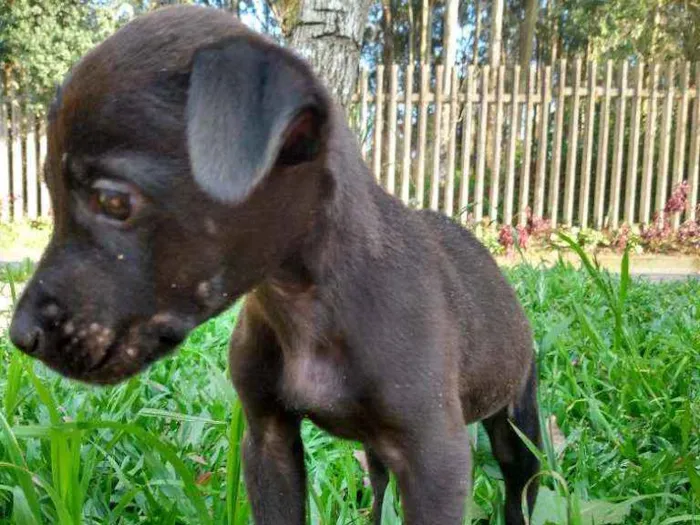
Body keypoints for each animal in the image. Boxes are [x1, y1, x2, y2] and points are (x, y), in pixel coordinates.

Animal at [10, 5, 544, 524]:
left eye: (114, 202)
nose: (20, 336)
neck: (303, 302)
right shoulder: (268, 439)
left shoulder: (435, 463)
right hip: (377, 451)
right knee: (379, 491)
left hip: (518, 427)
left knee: (520, 489)